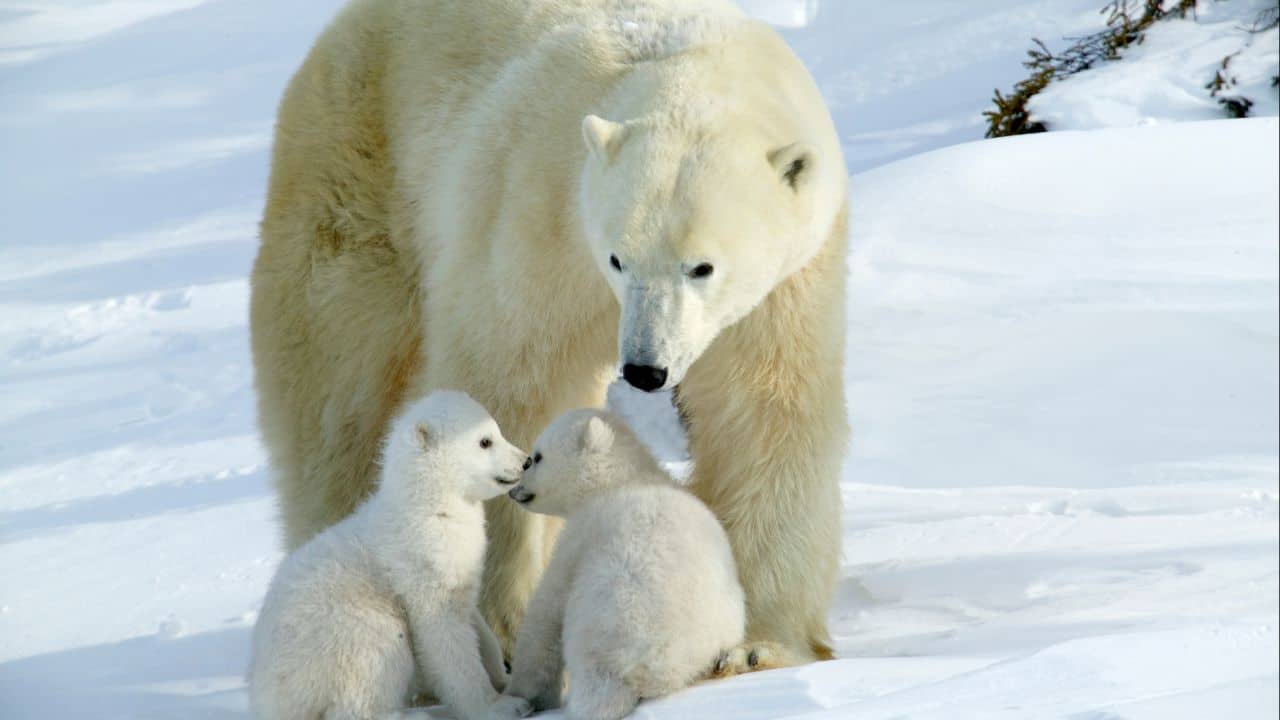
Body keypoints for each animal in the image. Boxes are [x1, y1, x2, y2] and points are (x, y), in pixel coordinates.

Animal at [248, 391, 528, 720]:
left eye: (496, 430)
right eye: (485, 441)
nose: (525, 461)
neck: (428, 506)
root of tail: (267, 699)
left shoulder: (459, 565)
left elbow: (474, 620)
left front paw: (504, 677)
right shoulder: (421, 561)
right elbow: (442, 633)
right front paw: (499, 705)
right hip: (338, 633)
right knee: (372, 661)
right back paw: (415, 714)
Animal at [251, 0, 849, 665]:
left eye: (702, 266)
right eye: (618, 258)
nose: (645, 369)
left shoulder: (785, 284)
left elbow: (763, 413)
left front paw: (759, 643)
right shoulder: (538, 214)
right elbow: (508, 382)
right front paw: (505, 624)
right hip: (357, 176)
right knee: (341, 395)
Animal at [491, 408, 745, 720]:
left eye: (536, 457)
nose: (514, 488)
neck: (626, 477)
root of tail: (662, 671)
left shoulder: (583, 533)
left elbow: (546, 612)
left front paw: (523, 694)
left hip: (609, 627)